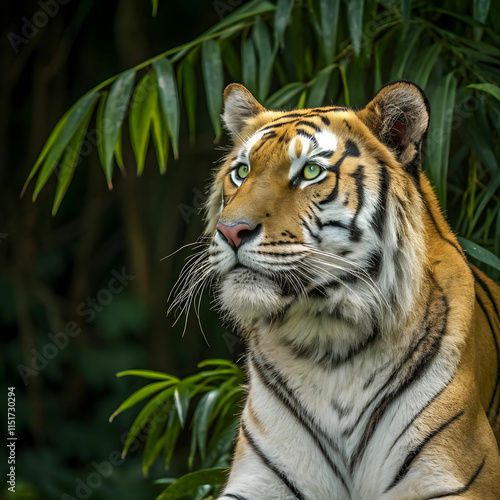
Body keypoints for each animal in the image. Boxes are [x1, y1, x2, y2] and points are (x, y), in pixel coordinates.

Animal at [182, 82, 500, 500]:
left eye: (311, 171)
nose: (230, 230)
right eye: (242, 171)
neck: (329, 343)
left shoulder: (454, 469)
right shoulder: (258, 479)